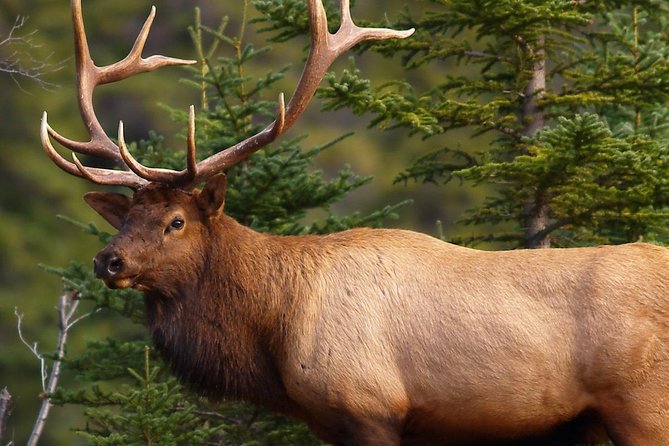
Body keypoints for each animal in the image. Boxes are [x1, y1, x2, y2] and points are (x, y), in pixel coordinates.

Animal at [40, 0, 668, 446]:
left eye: (176, 221)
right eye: (127, 216)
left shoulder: (369, 408)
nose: (108, 260)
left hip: (642, 405)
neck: (275, 327)